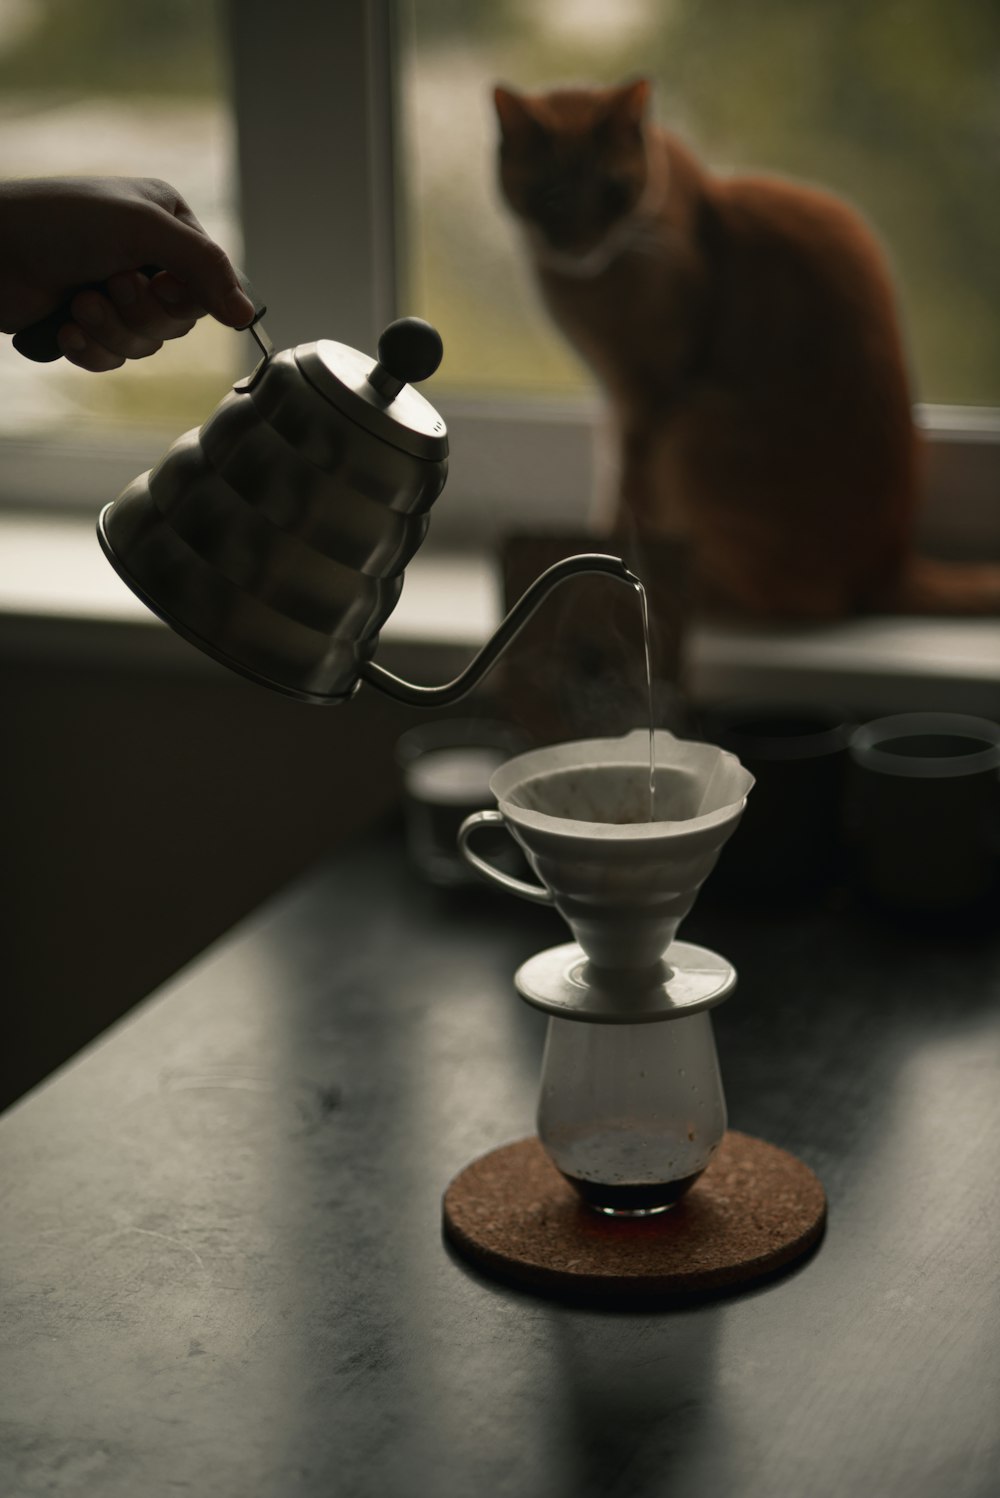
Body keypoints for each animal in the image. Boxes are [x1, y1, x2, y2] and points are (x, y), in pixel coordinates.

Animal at [494, 79, 999, 617]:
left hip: (691, 428)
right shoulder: (616, 400)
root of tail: (890, 567)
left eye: (614, 193)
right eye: (550, 198)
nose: (581, 243)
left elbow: (624, 495)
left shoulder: (644, 396)